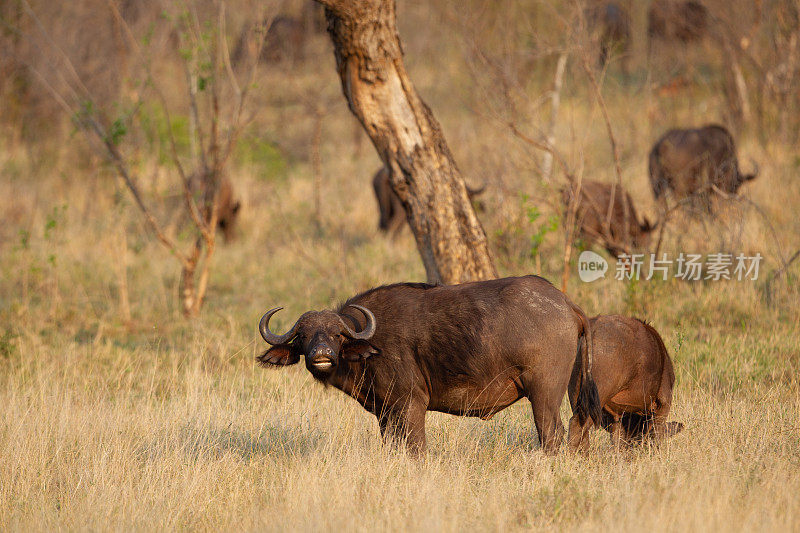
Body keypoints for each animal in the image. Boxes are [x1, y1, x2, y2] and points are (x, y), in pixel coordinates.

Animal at [256, 276, 600, 456]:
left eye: (336, 334)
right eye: (303, 335)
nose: (321, 354)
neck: (371, 346)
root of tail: (566, 304)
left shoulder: (411, 404)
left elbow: (416, 448)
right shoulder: (385, 413)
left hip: (544, 394)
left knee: (551, 434)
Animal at [564, 314, 684, 450]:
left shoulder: (616, 418)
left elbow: (618, 441)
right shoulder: (663, 405)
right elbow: (655, 435)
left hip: (577, 397)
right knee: (577, 425)